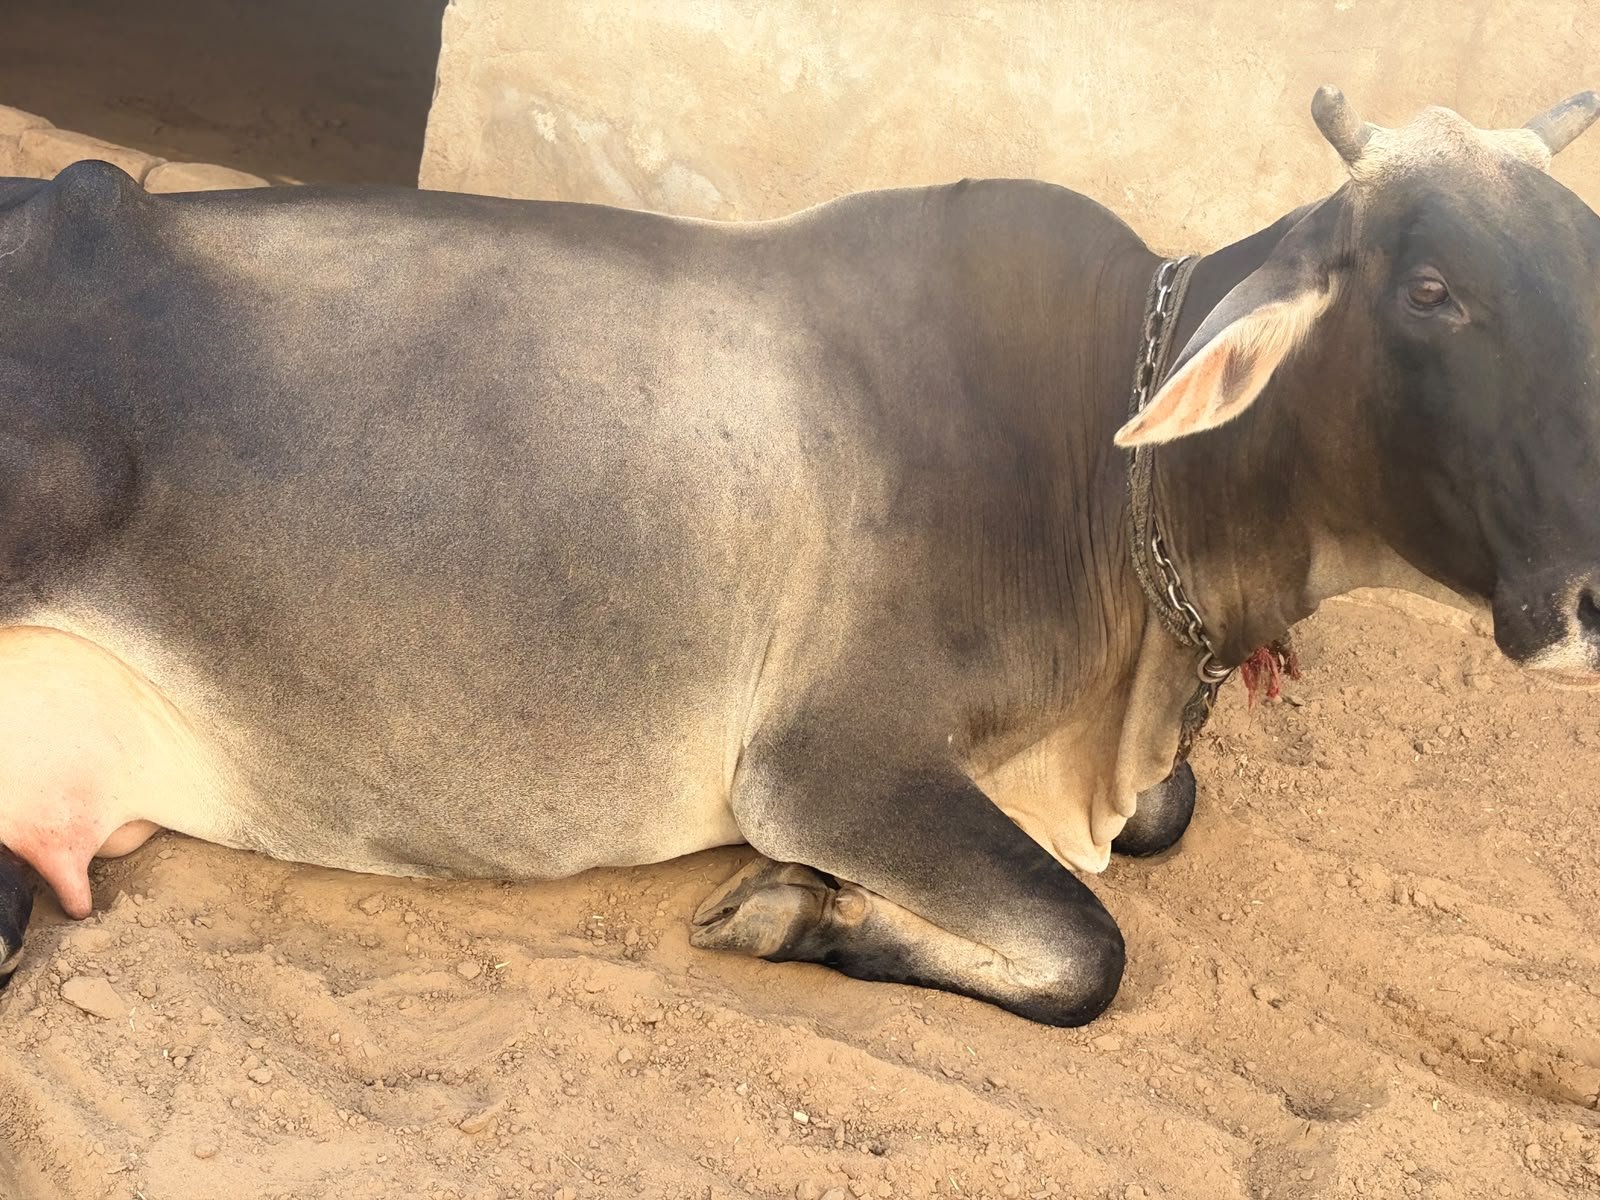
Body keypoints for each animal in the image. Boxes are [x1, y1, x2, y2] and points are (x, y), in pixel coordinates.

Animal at [0, 86, 1596, 1026]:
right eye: (1431, 290)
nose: (1586, 593)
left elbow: (1164, 822)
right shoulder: (825, 765)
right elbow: (1088, 953)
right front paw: (787, 906)